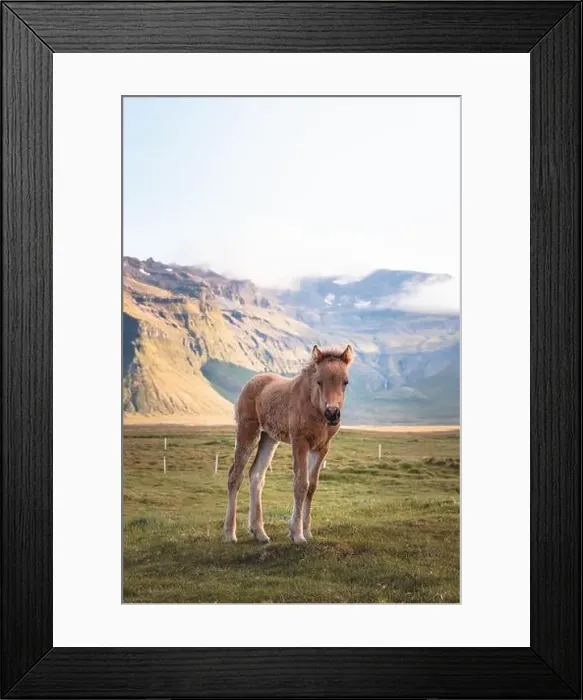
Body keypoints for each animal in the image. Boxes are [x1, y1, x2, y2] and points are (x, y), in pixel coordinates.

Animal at [223, 344, 354, 544]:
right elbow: (300, 484)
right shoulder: (299, 442)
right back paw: (230, 533)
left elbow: (312, 486)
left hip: (269, 438)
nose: (332, 413)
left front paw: (305, 531)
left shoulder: (322, 448)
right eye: (319, 381)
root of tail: (250, 382)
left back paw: (259, 532)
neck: (314, 407)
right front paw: (298, 535)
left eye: (345, 382)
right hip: (248, 431)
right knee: (235, 476)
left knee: (256, 475)